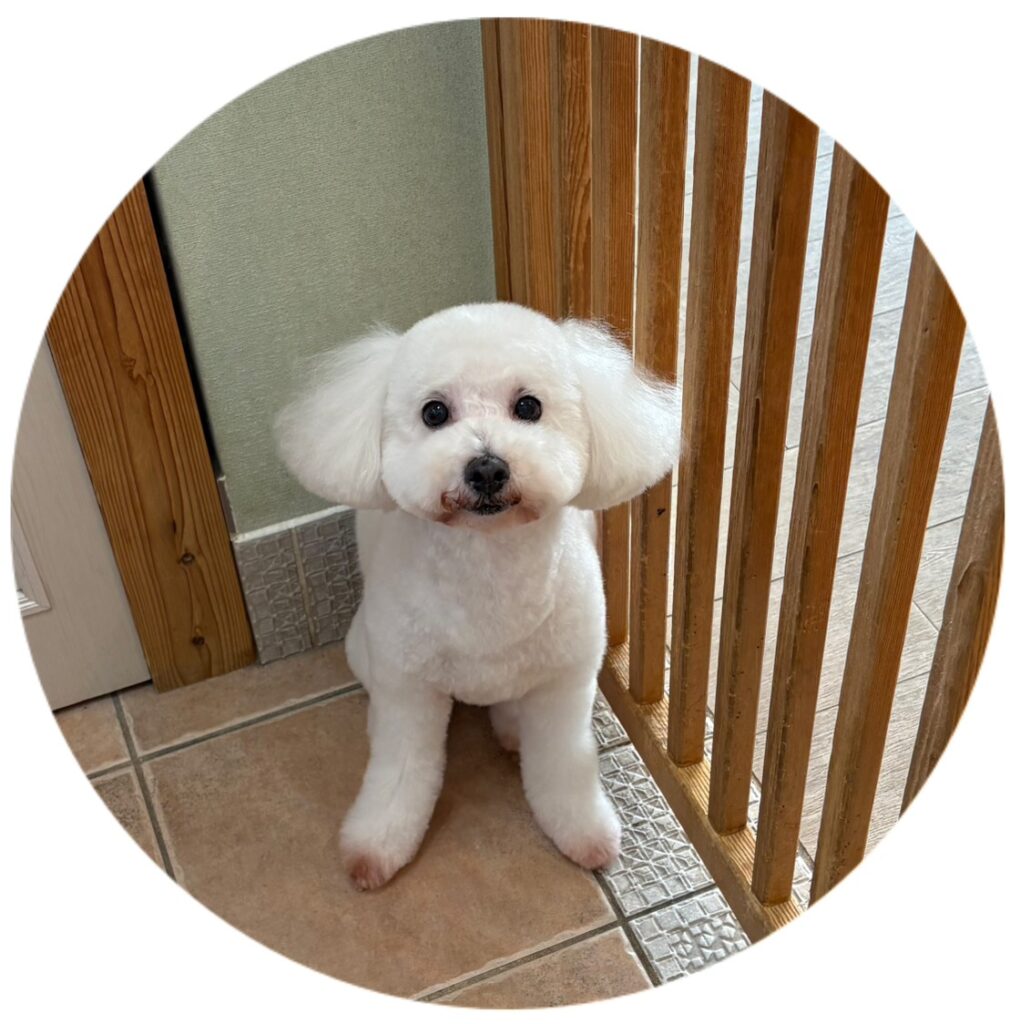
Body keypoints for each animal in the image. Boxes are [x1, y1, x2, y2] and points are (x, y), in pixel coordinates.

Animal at [275, 302, 681, 890]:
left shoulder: (567, 685)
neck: (489, 569)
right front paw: (379, 843)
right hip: (365, 650)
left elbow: (563, 764)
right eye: (434, 412)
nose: (487, 467)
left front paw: (582, 832)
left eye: (529, 406)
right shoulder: (409, 690)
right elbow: (401, 771)